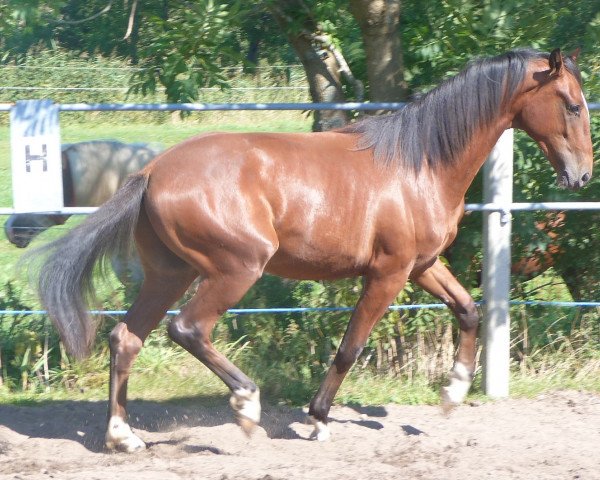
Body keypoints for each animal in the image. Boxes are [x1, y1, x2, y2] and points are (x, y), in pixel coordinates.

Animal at [30, 49, 592, 454]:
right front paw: (318, 419)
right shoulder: (387, 273)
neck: (419, 164)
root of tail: (150, 173)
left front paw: (453, 393)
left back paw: (124, 437)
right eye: (572, 103)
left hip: (169, 272)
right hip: (236, 268)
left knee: (126, 337)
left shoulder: (422, 266)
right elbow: (349, 348)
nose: (582, 175)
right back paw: (246, 405)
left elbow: (470, 309)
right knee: (187, 329)